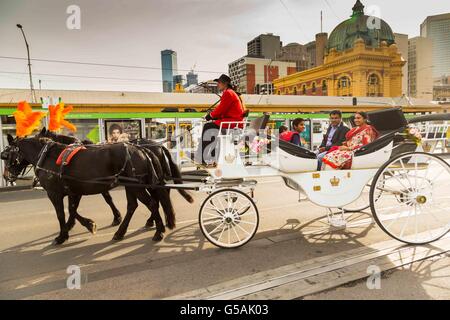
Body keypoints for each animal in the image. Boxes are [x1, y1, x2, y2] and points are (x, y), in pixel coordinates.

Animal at [1, 136, 174, 245]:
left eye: (5, 155)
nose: (7, 176)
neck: (47, 157)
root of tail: (141, 149)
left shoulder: (54, 193)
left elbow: (61, 213)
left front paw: (62, 236)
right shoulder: (74, 191)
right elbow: (72, 210)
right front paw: (88, 224)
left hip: (135, 186)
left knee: (152, 203)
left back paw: (159, 231)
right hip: (132, 185)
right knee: (134, 205)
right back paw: (121, 232)